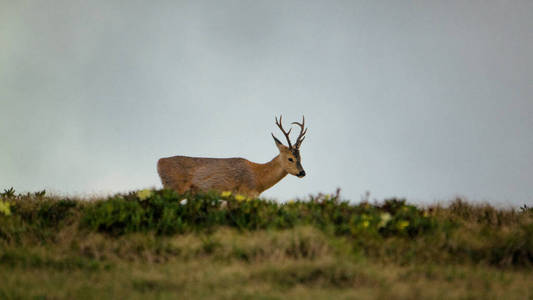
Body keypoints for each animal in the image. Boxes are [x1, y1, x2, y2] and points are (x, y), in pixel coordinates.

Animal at [157, 115, 308, 197]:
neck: (258, 178)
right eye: (290, 158)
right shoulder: (242, 193)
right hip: (174, 187)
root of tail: (159, 162)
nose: (302, 172)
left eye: (301, 158)